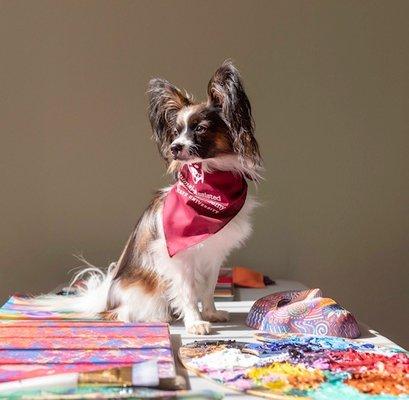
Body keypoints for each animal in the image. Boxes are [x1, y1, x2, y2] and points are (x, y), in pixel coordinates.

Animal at [39, 59, 260, 334]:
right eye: (176, 132)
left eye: (200, 129)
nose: (174, 148)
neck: (209, 186)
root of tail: (107, 301)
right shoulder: (179, 258)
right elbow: (188, 292)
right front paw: (195, 322)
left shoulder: (213, 255)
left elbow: (208, 289)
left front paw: (210, 313)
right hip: (142, 292)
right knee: (124, 314)